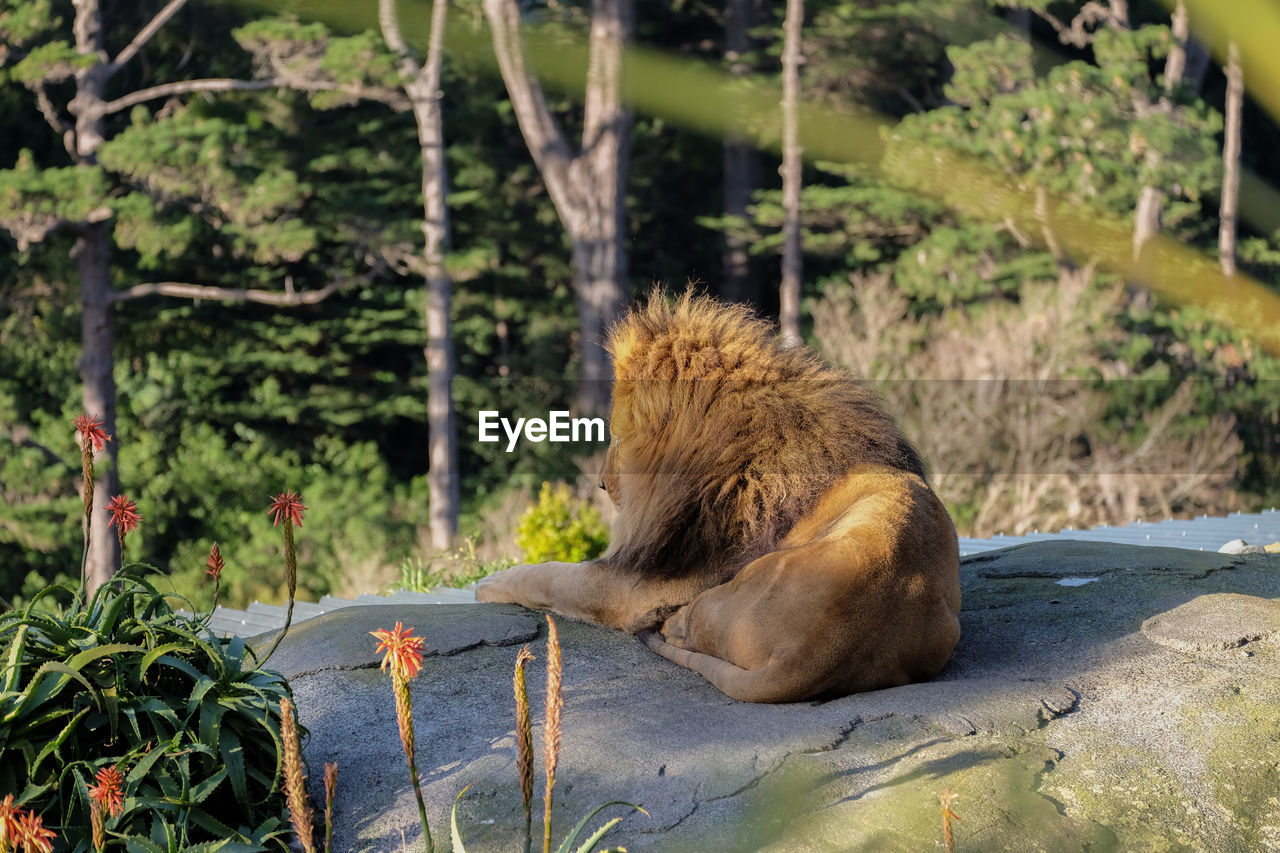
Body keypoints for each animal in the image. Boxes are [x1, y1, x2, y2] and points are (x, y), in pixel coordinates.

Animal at [481, 289, 962, 701]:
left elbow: (549, 577)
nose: (601, 483)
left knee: (684, 626)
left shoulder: (633, 586)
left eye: (616, 436)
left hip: (723, 594)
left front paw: (489, 584)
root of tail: (815, 657)